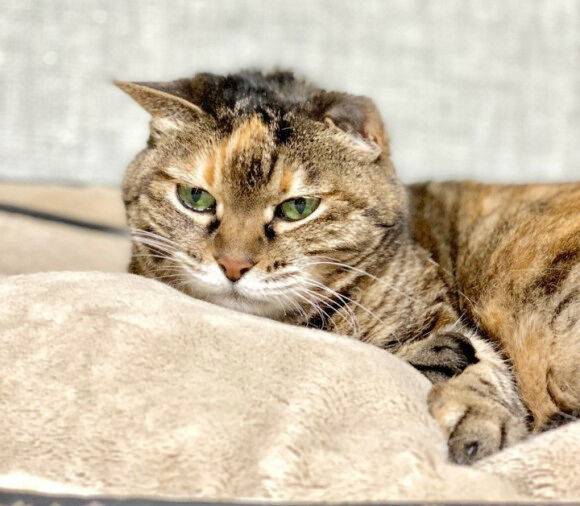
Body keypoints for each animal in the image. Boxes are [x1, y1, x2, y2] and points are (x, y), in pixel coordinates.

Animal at [116, 70, 579, 464]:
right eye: (195, 198)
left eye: (297, 207)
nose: (233, 264)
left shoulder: (440, 319)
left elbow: (478, 370)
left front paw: (474, 423)